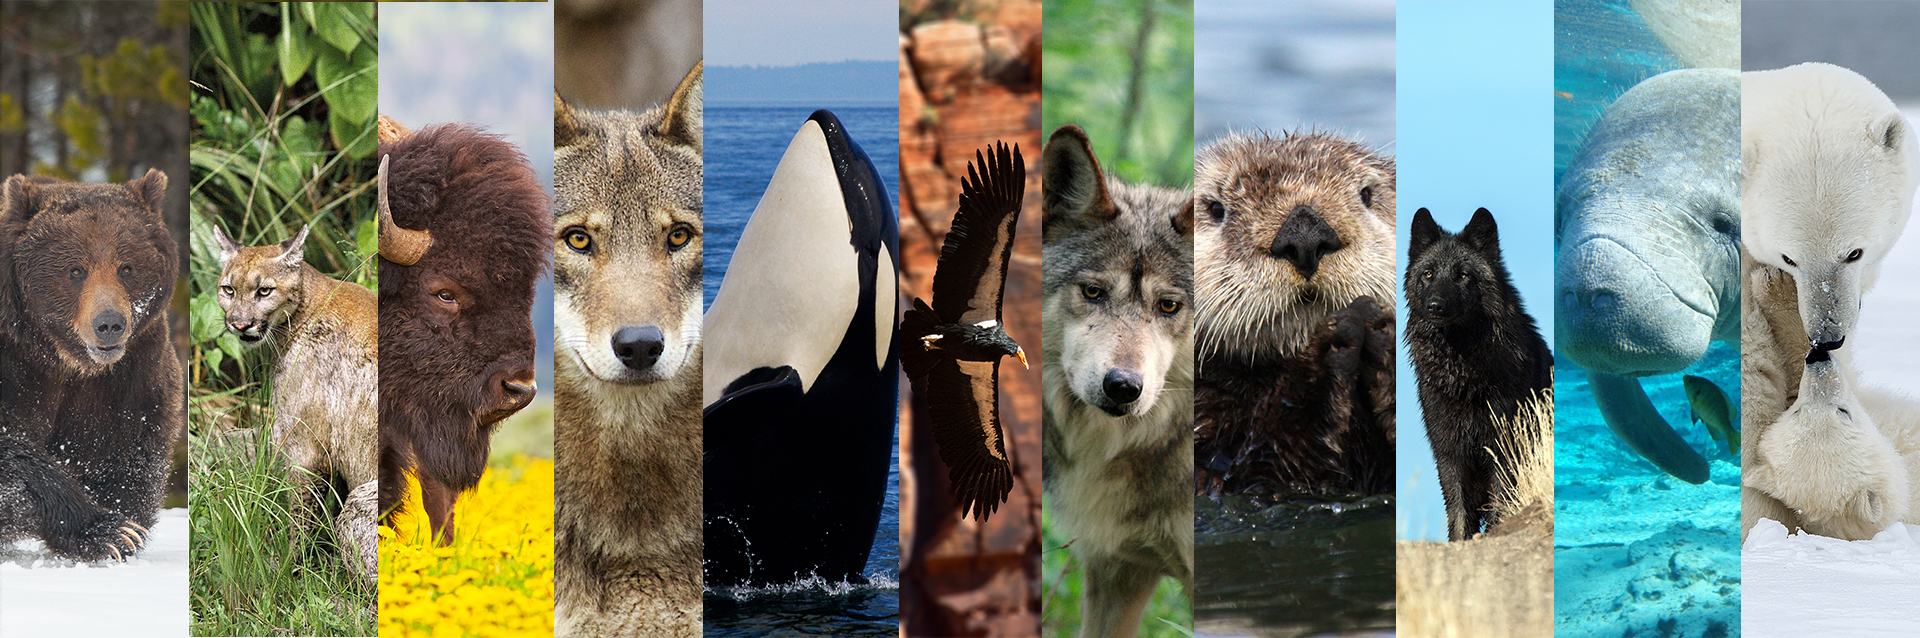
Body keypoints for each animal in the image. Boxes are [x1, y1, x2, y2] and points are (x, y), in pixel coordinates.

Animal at [0, 171, 183, 564]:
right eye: (76, 269)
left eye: (126, 267)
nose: (109, 323)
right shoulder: (15, 364)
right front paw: (107, 530)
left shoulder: (129, 374)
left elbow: (123, 451)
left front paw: (126, 528)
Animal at [1405, 206, 1551, 541]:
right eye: (1428, 274)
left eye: (1462, 276)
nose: (1435, 306)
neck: (1462, 373)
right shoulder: (1449, 453)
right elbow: (1459, 512)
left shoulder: (1503, 447)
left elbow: (1499, 504)